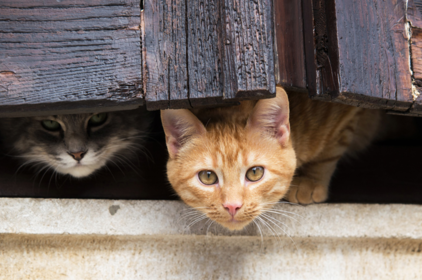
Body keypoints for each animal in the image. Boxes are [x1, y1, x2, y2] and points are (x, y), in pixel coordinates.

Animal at [160, 87, 380, 230]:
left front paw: (310, 181)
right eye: (207, 177)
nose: (232, 206)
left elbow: (330, 150)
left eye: (255, 173)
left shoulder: (347, 110)